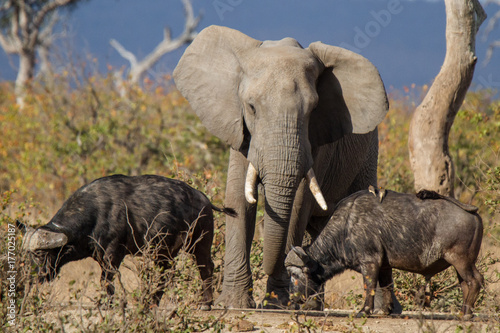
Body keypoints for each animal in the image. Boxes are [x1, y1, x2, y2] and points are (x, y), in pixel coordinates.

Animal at [19, 174, 236, 308]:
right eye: (27, 254)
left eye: (40, 253)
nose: (32, 275)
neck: (94, 214)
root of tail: (204, 199)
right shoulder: (101, 255)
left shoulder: (113, 252)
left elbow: (106, 279)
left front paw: (107, 304)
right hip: (164, 251)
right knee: (165, 273)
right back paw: (151, 301)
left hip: (199, 242)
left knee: (205, 267)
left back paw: (205, 303)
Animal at [174, 24, 388, 308]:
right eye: (251, 107)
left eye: (313, 109)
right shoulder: (241, 130)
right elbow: (238, 198)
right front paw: (232, 304)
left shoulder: (316, 139)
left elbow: (298, 203)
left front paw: (277, 302)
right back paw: (311, 305)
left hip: (367, 155)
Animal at [286, 189, 484, 316]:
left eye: (295, 275)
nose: (292, 297)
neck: (347, 224)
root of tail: (472, 212)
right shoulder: (385, 267)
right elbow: (387, 286)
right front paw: (387, 310)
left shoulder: (370, 262)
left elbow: (369, 286)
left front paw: (364, 310)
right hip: (460, 265)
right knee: (466, 284)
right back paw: (463, 311)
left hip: (461, 260)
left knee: (475, 280)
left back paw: (466, 313)